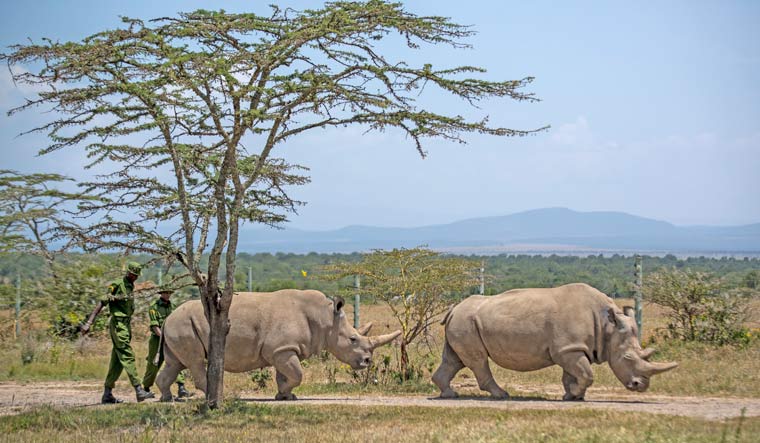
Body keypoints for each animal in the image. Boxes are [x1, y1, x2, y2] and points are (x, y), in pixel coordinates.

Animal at [156, 289, 400, 401]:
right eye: (353, 339)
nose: (367, 361)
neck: (325, 318)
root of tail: (167, 318)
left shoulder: (283, 349)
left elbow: (285, 376)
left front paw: (285, 397)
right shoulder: (282, 349)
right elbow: (298, 374)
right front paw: (286, 396)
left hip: (178, 325)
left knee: (174, 363)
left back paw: (167, 399)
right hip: (183, 325)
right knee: (195, 361)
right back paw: (218, 397)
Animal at [432, 283, 677, 401]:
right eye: (627, 358)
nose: (640, 386)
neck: (608, 327)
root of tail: (454, 308)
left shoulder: (572, 348)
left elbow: (572, 375)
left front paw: (572, 396)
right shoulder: (569, 349)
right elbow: (587, 374)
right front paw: (575, 394)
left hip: (463, 321)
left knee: (455, 360)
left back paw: (449, 395)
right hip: (466, 321)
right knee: (478, 361)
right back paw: (501, 395)